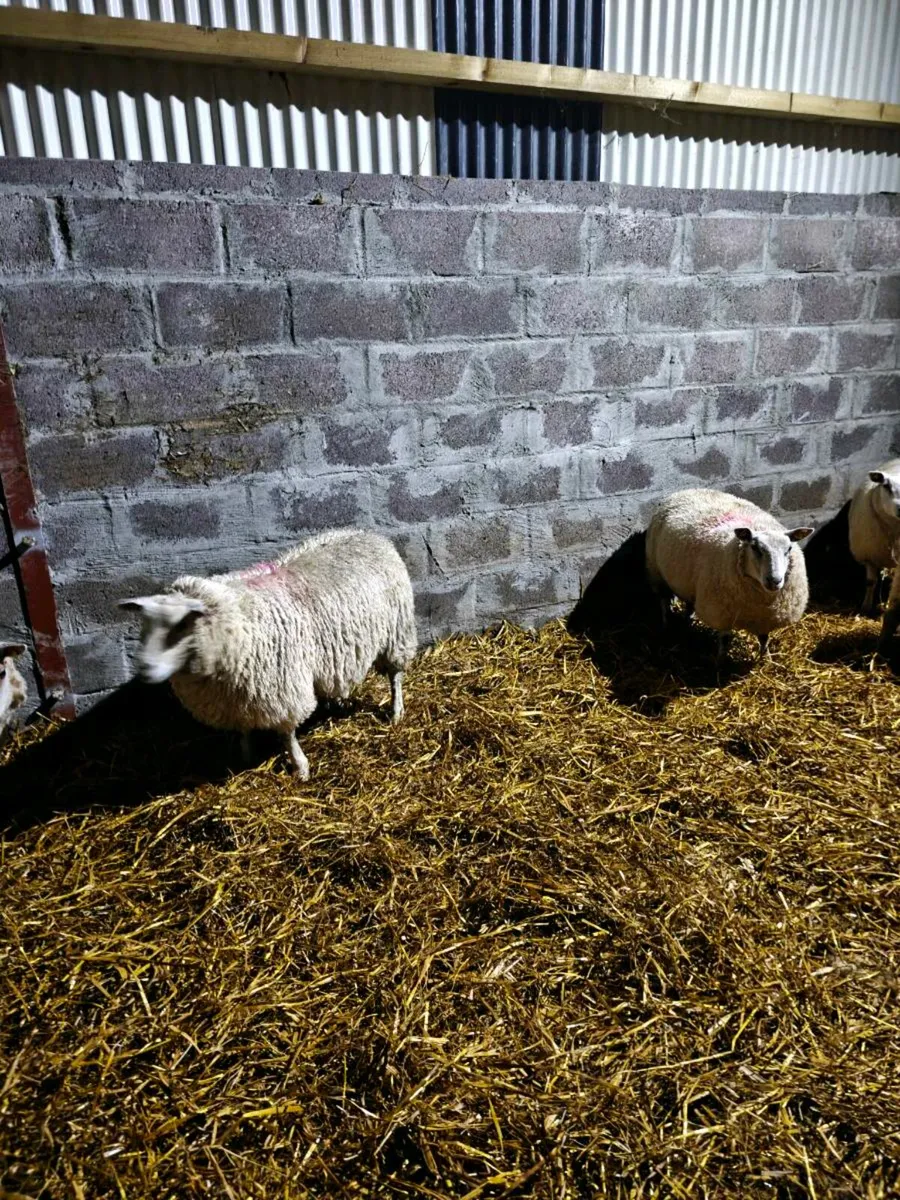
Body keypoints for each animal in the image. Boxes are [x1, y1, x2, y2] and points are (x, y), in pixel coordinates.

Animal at [119, 529, 417, 779]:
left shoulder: (282, 689)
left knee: (395, 676)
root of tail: (370, 534)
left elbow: (287, 734)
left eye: (182, 624)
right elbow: (243, 730)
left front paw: (300, 768)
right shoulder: (236, 698)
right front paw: (244, 757)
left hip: (396, 634)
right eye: (146, 624)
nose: (145, 669)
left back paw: (396, 712)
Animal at [645, 488, 812, 660]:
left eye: (789, 549)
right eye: (755, 547)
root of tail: (688, 490)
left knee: (689, 604)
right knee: (663, 601)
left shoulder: (765, 619)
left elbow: (764, 638)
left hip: (688, 582)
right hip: (656, 572)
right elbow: (724, 640)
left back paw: (688, 623)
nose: (774, 580)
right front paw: (721, 661)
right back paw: (666, 625)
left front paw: (765, 658)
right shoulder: (721, 613)